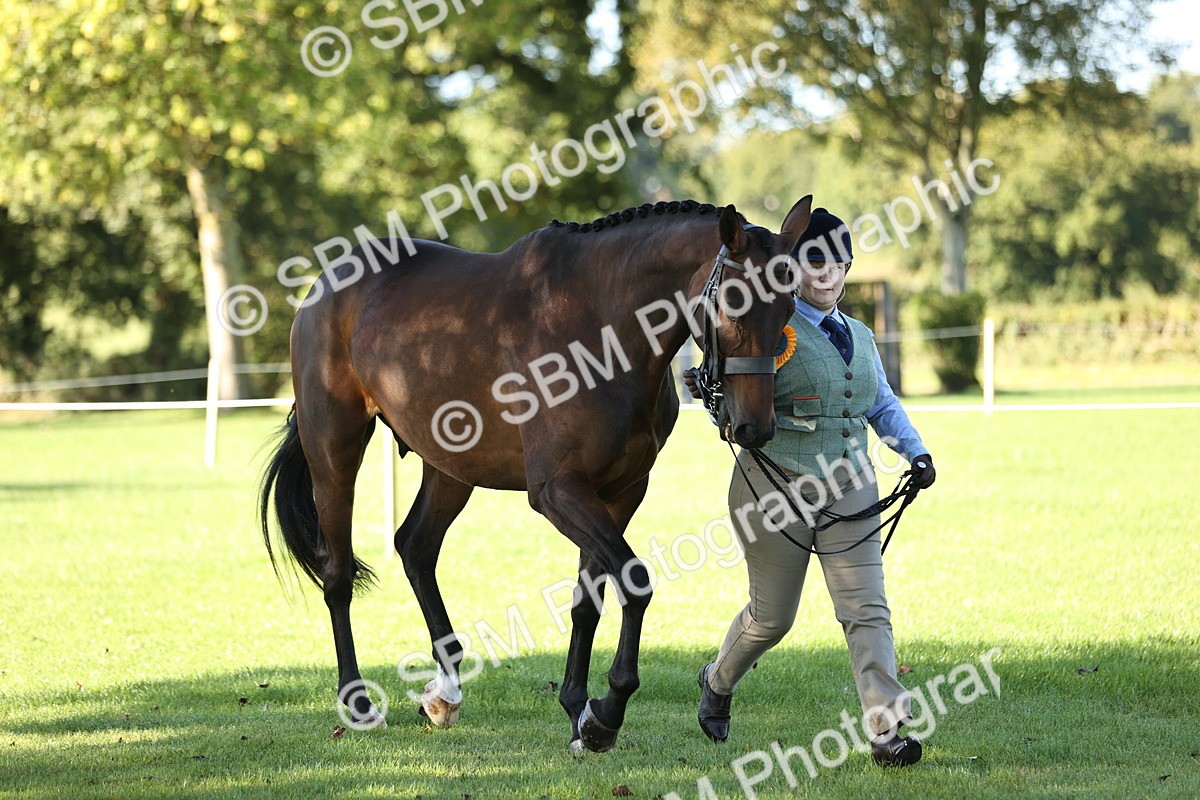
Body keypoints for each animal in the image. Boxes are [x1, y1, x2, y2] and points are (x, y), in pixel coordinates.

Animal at [260, 196, 814, 752]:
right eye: (732, 306)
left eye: (788, 310)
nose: (754, 427)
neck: (601, 328)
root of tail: (325, 287)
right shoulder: (557, 491)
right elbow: (633, 581)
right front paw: (606, 713)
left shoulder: (620, 492)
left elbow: (588, 601)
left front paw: (578, 712)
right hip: (334, 453)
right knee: (337, 574)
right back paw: (358, 703)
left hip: (450, 468)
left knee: (415, 547)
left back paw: (445, 691)